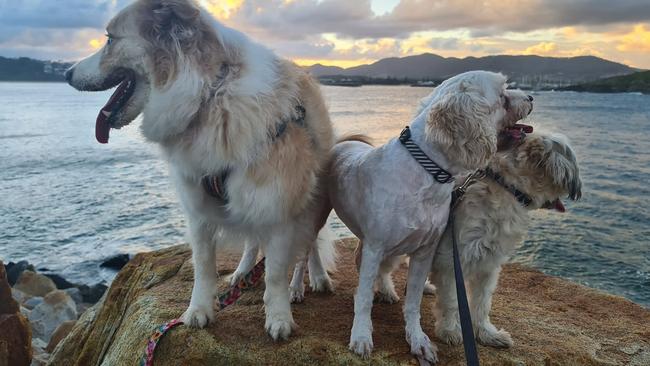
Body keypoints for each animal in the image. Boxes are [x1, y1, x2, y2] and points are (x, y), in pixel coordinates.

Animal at [64, 0, 334, 340]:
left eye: (110, 40)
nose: (65, 73)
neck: (210, 96)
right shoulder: (199, 206)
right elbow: (204, 266)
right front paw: (199, 311)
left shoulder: (278, 206)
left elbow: (275, 273)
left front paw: (279, 317)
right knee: (252, 241)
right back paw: (243, 271)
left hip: (311, 201)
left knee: (309, 246)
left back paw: (312, 279)